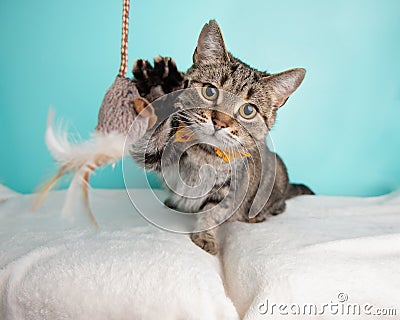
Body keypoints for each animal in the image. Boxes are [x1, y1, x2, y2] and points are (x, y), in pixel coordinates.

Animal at [130, 20, 312, 255]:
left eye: (248, 110)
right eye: (210, 91)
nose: (220, 122)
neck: (206, 153)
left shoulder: (229, 190)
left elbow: (212, 212)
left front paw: (204, 235)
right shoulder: (157, 154)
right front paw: (158, 87)